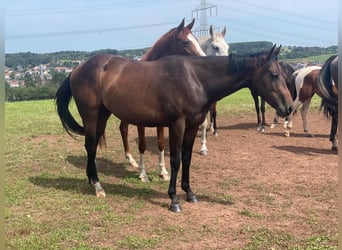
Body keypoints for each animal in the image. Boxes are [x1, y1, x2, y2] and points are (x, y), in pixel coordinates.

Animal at [54, 44, 292, 212]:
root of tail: (77, 69)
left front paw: (190, 193)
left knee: (92, 147)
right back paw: (97, 186)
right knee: (90, 146)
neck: (196, 78)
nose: (289, 107)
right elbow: (175, 160)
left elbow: (187, 158)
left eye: (282, 73)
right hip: (91, 115)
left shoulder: (193, 126)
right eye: (273, 74)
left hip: (103, 115)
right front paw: (174, 199)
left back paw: (91, 180)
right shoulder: (177, 124)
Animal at [117, 17, 204, 182]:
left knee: (123, 128)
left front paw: (163, 171)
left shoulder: (163, 121)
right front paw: (143, 174)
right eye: (185, 42)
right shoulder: (141, 122)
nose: (204, 60)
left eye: (196, 40)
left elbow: (161, 143)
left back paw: (131, 160)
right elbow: (143, 144)